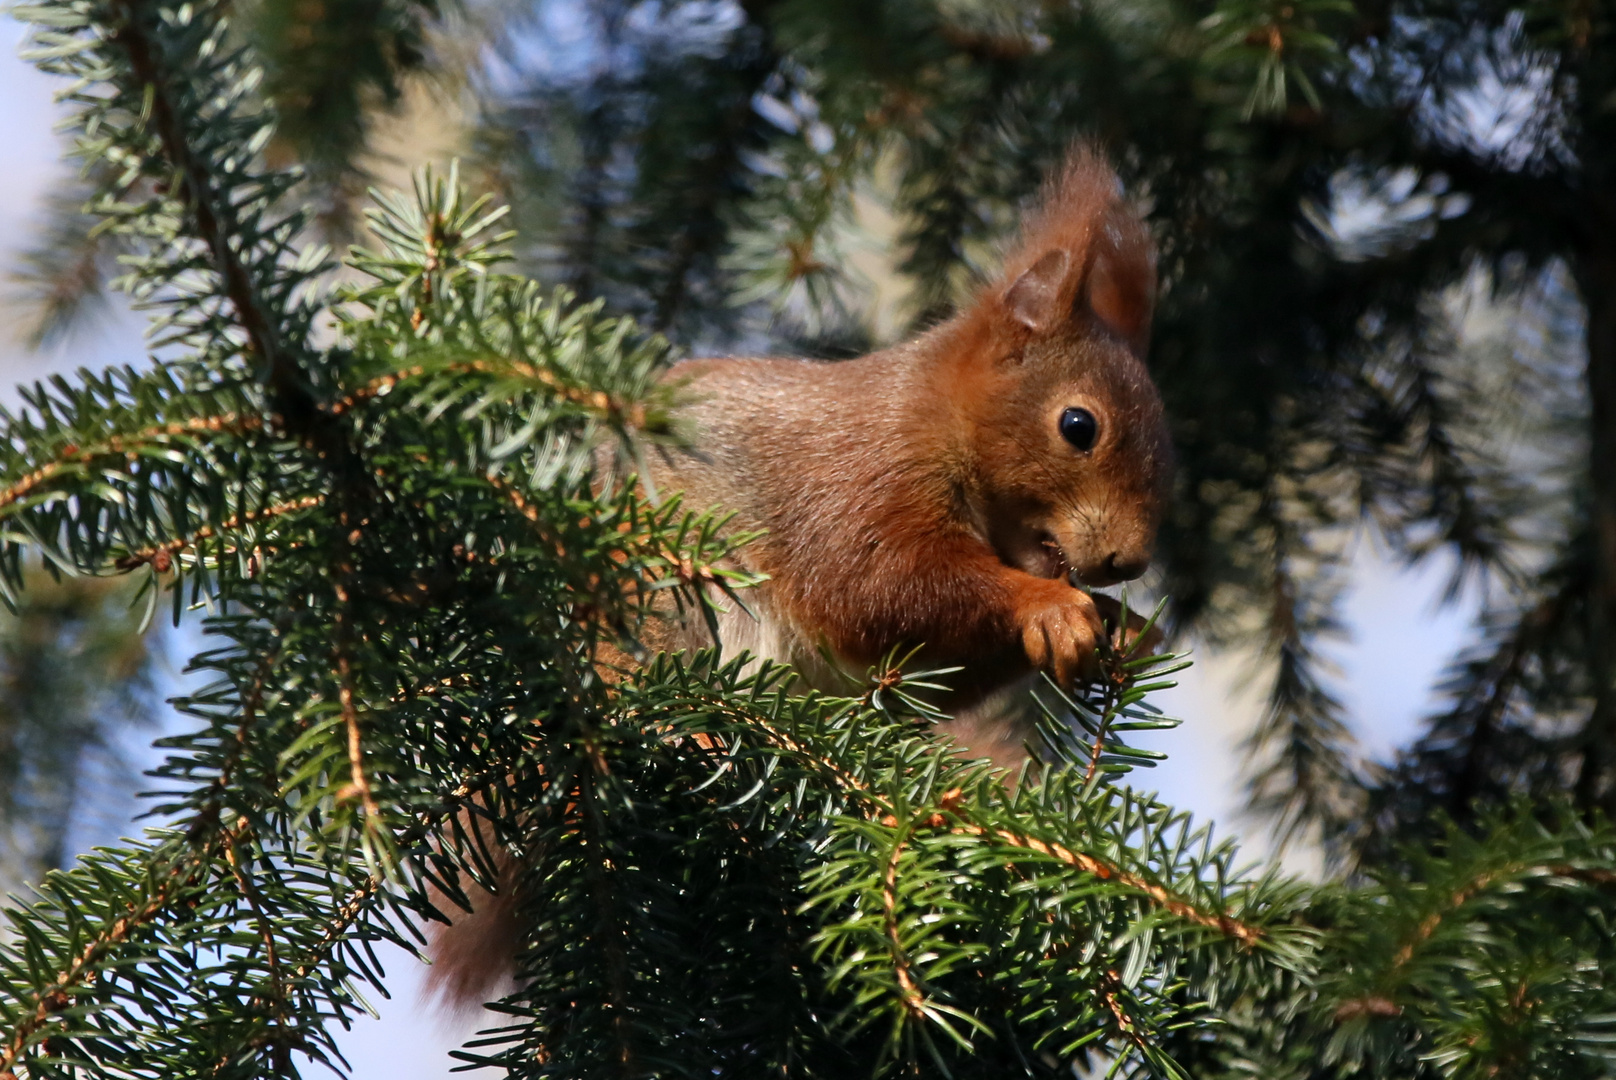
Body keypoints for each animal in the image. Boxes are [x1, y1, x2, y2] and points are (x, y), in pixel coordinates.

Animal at [429, 149, 1176, 1002]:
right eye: (1078, 426)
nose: (1129, 563)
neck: (938, 420)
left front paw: (1126, 628)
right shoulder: (859, 482)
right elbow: (879, 585)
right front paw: (1050, 606)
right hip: (658, 593)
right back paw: (689, 733)